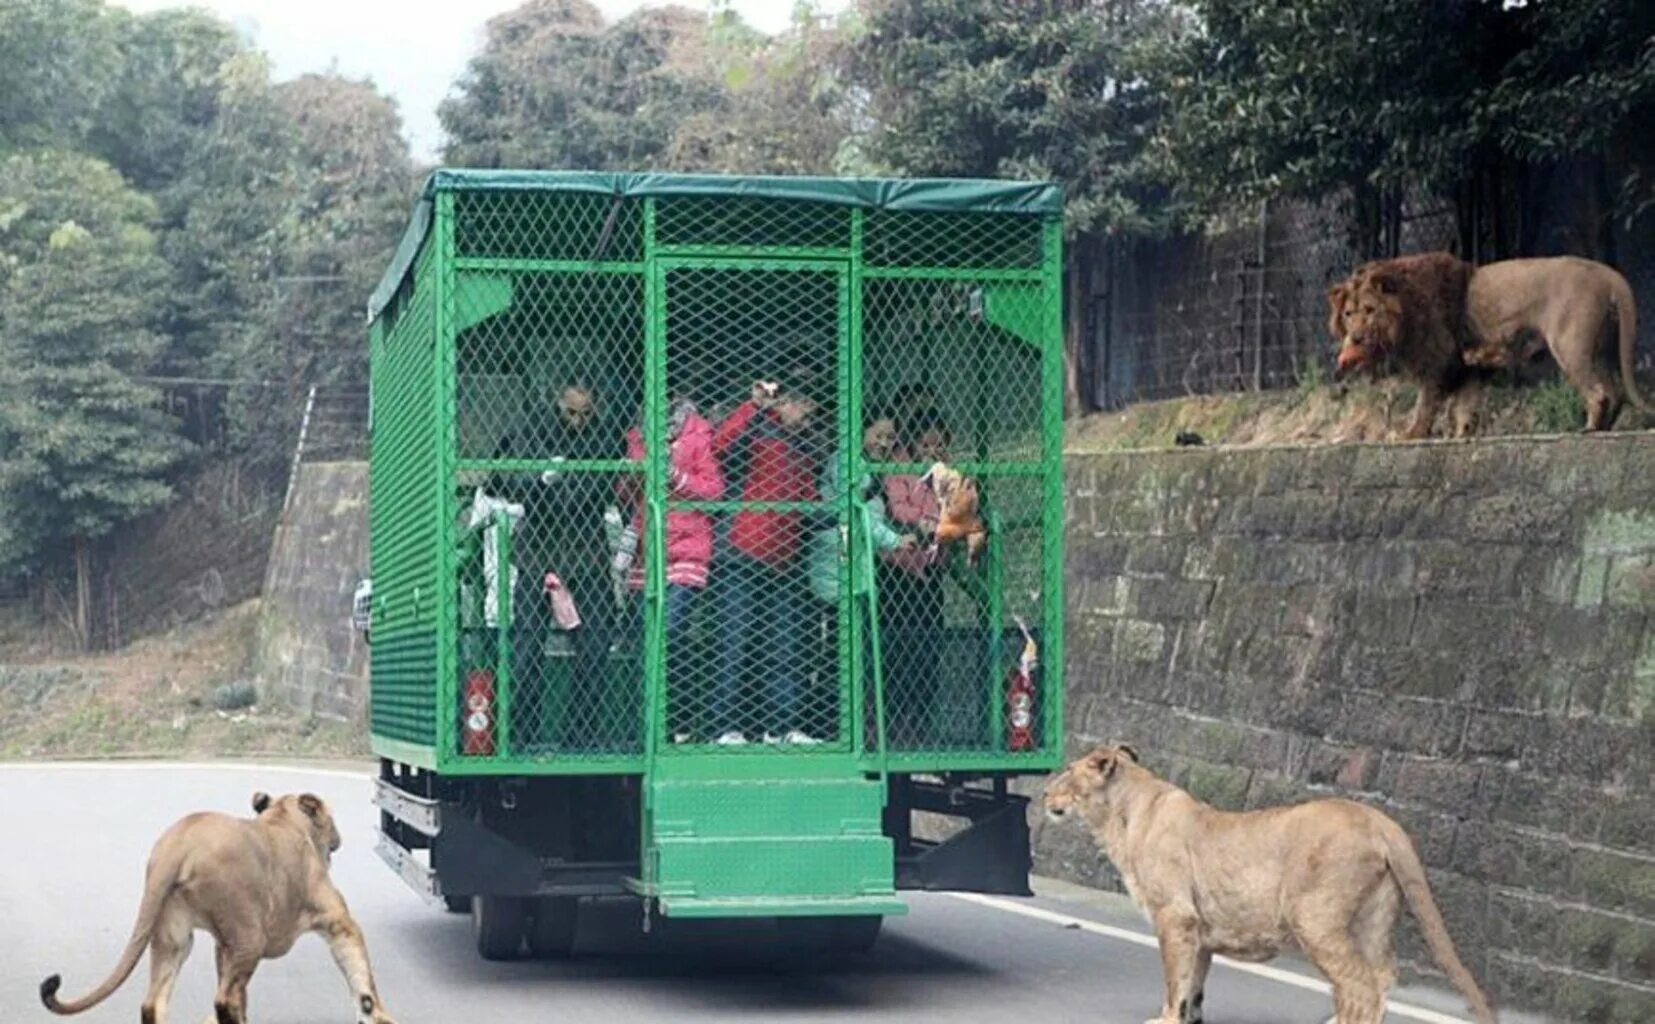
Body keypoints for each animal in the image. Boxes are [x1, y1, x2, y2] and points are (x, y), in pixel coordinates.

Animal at [38, 794, 393, 1024]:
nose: (338, 839)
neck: (283, 818)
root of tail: (176, 846)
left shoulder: (224, 946)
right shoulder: (338, 921)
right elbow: (362, 976)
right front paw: (376, 1014)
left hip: (175, 939)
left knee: (154, 1004)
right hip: (250, 938)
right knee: (224, 1000)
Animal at [1045, 744, 1502, 1024]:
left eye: (1067, 772)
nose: (1046, 791)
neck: (1121, 817)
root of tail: (1378, 819)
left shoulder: (1176, 917)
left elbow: (1175, 981)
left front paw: (1165, 1019)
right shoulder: (1200, 930)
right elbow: (1194, 983)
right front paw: (1190, 1017)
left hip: (1315, 918)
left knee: (1361, 984)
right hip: (1374, 917)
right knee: (1381, 976)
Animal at [1324, 253, 1482, 440]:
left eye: (1369, 310)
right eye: (1348, 314)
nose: (1356, 338)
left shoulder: (1439, 355)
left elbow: (1427, 399)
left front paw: (1415, 432)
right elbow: (1465, 398)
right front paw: (1463, 429)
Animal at [1469, 258, 1648, 430]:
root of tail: (1605, 272)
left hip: (1569, 346)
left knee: (1597, 393)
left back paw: (1588, 429)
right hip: (1599, 352)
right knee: (1614, 393)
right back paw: (1602, 429)